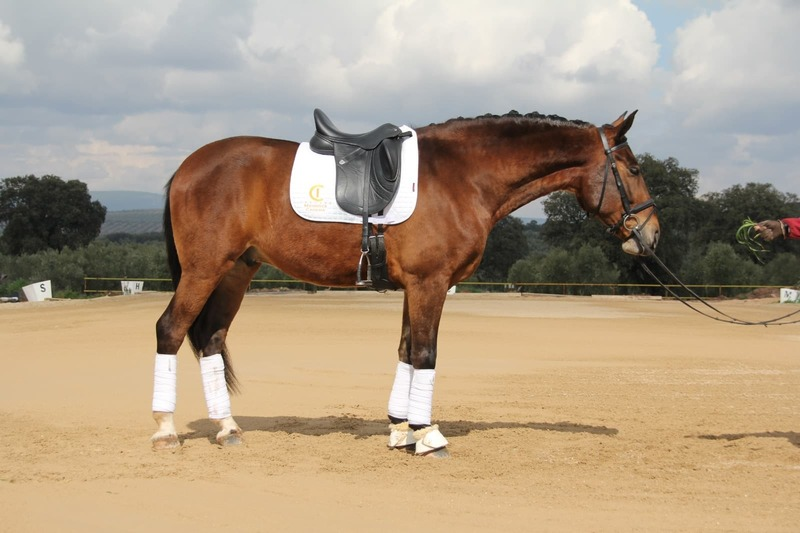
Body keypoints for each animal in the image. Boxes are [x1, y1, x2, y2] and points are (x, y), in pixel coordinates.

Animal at [150, 109, 660, 456]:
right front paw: (428, 435)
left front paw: (400, 429)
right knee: (171, 330)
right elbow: (426, 354)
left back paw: (228, 428)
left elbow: (405, 350)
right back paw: (165, 431)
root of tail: (187, 166)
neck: (462, 176)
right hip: (206, 269)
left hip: (237, 270)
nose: (651, 234)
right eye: (634, 169)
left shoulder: (415, 287)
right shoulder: (429, 283)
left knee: (211, 338)